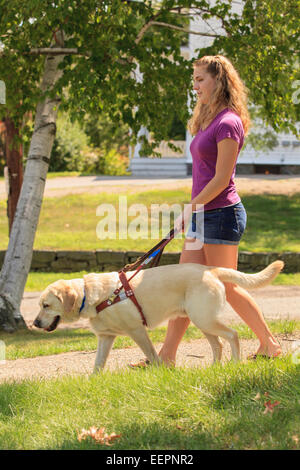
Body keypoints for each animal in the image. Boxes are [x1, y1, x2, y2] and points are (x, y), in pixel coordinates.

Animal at [32, 260, 284, 370]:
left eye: (46, 305)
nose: (34, 323)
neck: (92, 296)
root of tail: (210, 269)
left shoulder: (137, 330)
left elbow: (152, 355)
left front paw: (159, 373)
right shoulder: (106, 337)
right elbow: (98, 364)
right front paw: (94, 382)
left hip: (205, 318)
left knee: (232, 335)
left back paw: (233, 363)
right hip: (202, 320)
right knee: (218, 344)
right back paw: (214, 368)